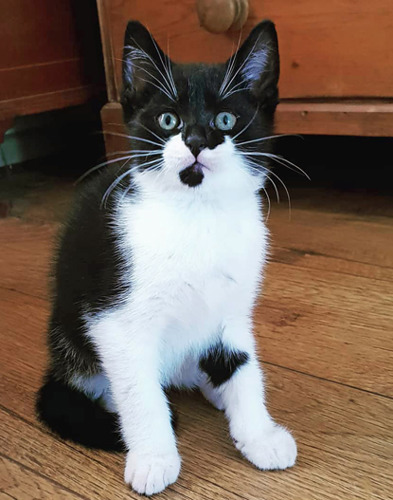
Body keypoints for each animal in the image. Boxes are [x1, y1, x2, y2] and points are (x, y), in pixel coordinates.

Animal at [36, 19, 296, 496]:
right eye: (168, 120)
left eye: (225, 120)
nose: (194, 141)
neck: (197, 216)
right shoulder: (113, 319)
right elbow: (139, 391)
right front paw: (154, 456)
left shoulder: (233, 307)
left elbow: (243, 365)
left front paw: (259, 435)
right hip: (72, 333)